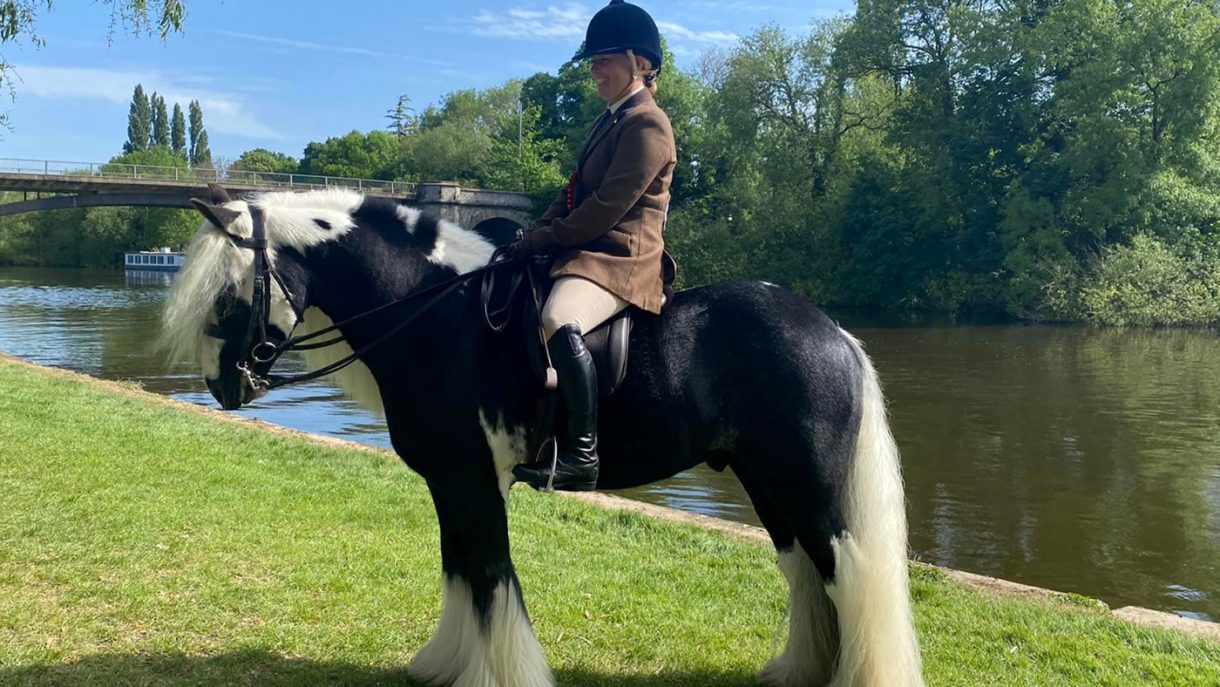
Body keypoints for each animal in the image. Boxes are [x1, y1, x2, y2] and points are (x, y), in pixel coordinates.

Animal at [160, 184, 925, 687]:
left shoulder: (474, 482)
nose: (224, 388)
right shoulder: (452, 483)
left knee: (849, 571)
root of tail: (834, 333)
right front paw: (443, 664)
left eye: (228, 294)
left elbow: (491, 577)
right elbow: (461, 569)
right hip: (770, 484)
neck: (439, 316)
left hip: (808, 487)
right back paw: (800, 670)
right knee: (808, 571)